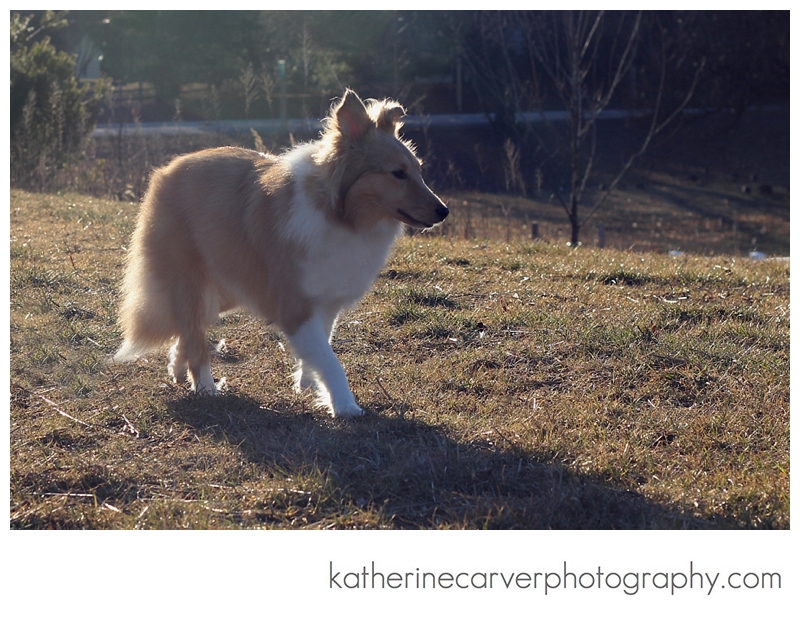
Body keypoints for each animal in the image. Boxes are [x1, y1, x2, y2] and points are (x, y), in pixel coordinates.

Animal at [113, 89, 448, 417]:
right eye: (398, 173)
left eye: (418, 170)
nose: (444, 211)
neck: (338, 214)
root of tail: (167, 169)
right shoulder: (295, 306)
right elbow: (331, 361)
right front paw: (344, 405)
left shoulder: (325, 300)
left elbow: (321, 346)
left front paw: (308, 384)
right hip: (193, 280)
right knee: (194, 335)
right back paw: (206, 387)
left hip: (227, 285)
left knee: (187, 327)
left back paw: (178, 366)